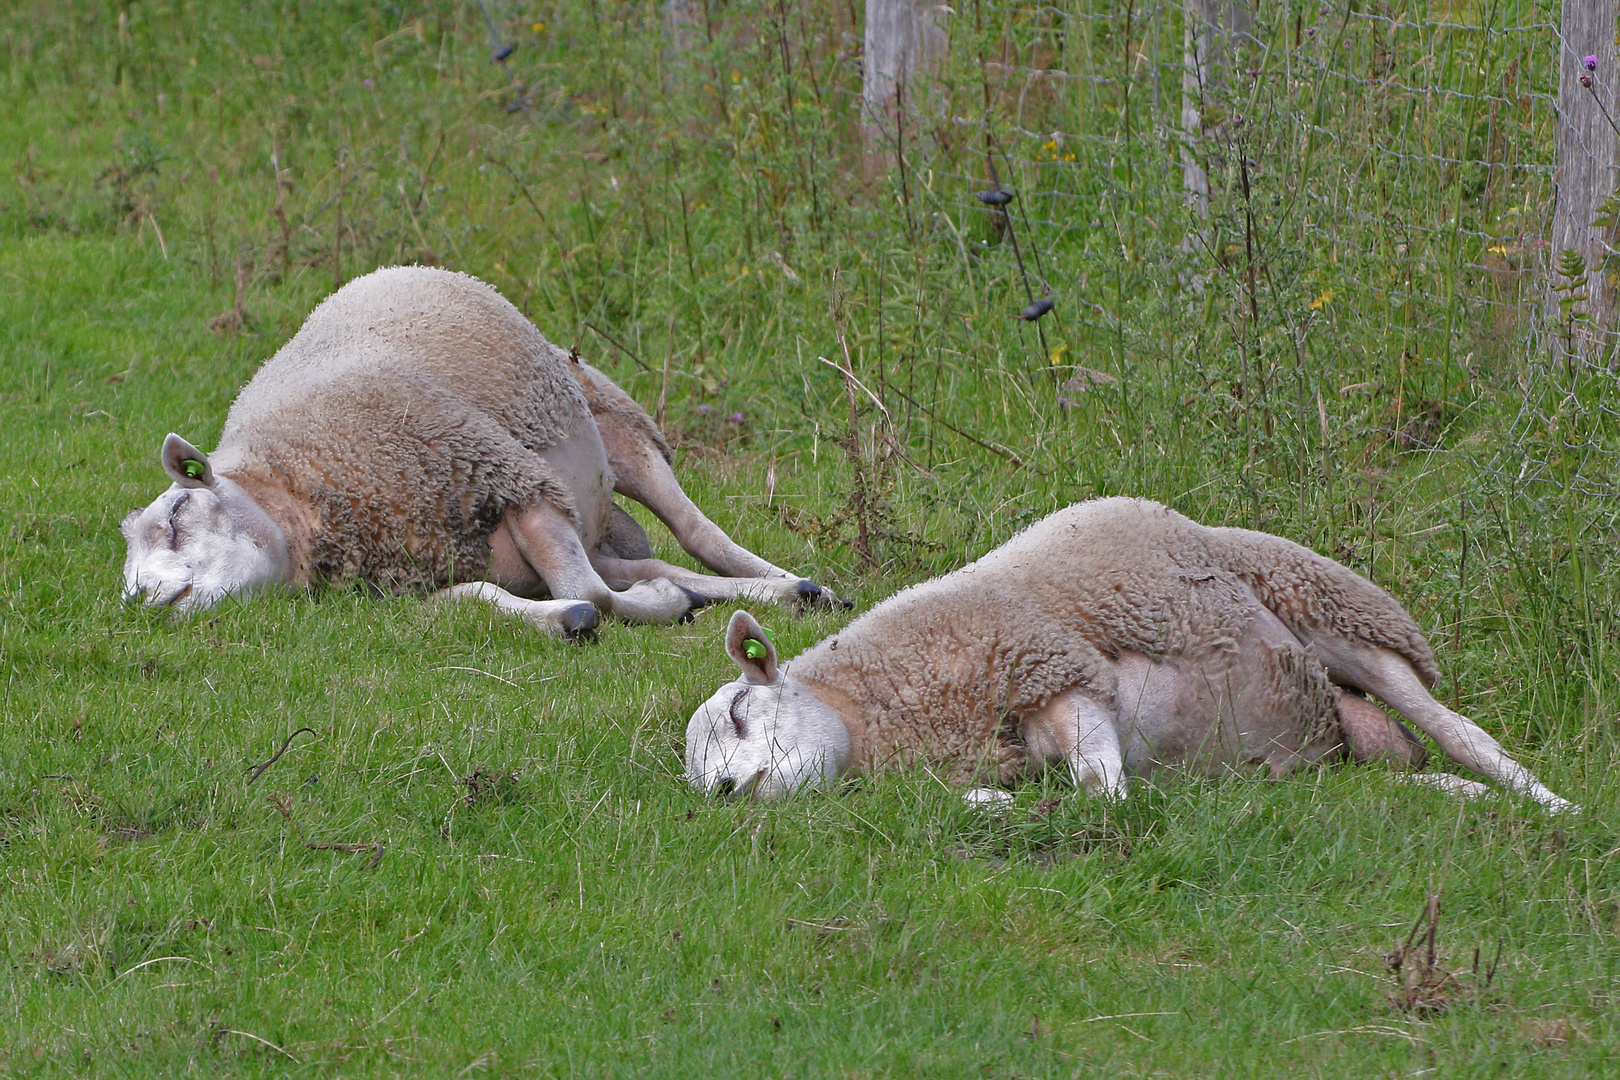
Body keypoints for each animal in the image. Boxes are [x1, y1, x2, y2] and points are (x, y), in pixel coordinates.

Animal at [119, 263, 842, 634]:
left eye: (178, 517)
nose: (143, 602)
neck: (300, 490)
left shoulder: (508, 478)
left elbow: (593, 591)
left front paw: (654, 608)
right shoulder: (410, 579)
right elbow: (485, 599)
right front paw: (567, 617)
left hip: (618, 427)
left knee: (695, 533)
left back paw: (796, 587)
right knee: (642, 562)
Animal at [690, 498, 1574, 809]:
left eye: (740, 710)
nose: (727, 793)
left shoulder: (1056, 672)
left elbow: (1103, 790)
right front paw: (992, 804)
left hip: (1339, 616)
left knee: (1462, 730)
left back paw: (1549, 806)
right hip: (1326, 751)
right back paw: (1461, 799)